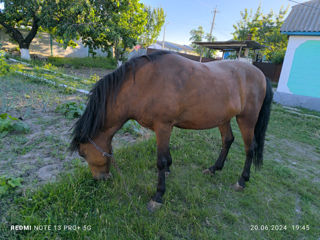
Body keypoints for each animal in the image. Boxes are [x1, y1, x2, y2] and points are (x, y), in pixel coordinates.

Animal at [70, 50, 272, 210]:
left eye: (82, 154)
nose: (100, 179)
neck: (145, 83)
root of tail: (262, 75)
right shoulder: (164, 128)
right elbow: (166, 156)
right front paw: (168, 170)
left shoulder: (163, 126)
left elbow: (160, 160)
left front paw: (158, 196)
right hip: (223, 118)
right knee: (227, 140)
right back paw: (214, 169)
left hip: (246, 119)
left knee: (250, 149)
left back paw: (242, 181)